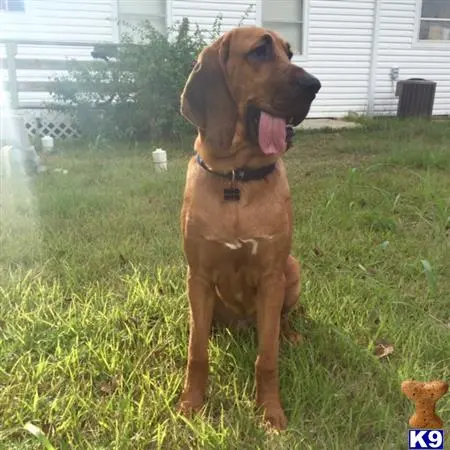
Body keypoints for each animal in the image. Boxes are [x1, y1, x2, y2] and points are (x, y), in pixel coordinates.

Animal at [178, 26, 320, 430]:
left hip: (292, 269)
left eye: (290, 53)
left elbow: (266, 358)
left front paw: (270, 412)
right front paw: (191, 404)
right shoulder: (198, 275)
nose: (315, 85)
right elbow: (197, 352)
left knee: (280, 323)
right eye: (259, 52)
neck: (237, 180)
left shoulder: (272, 276)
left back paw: (291, 335)